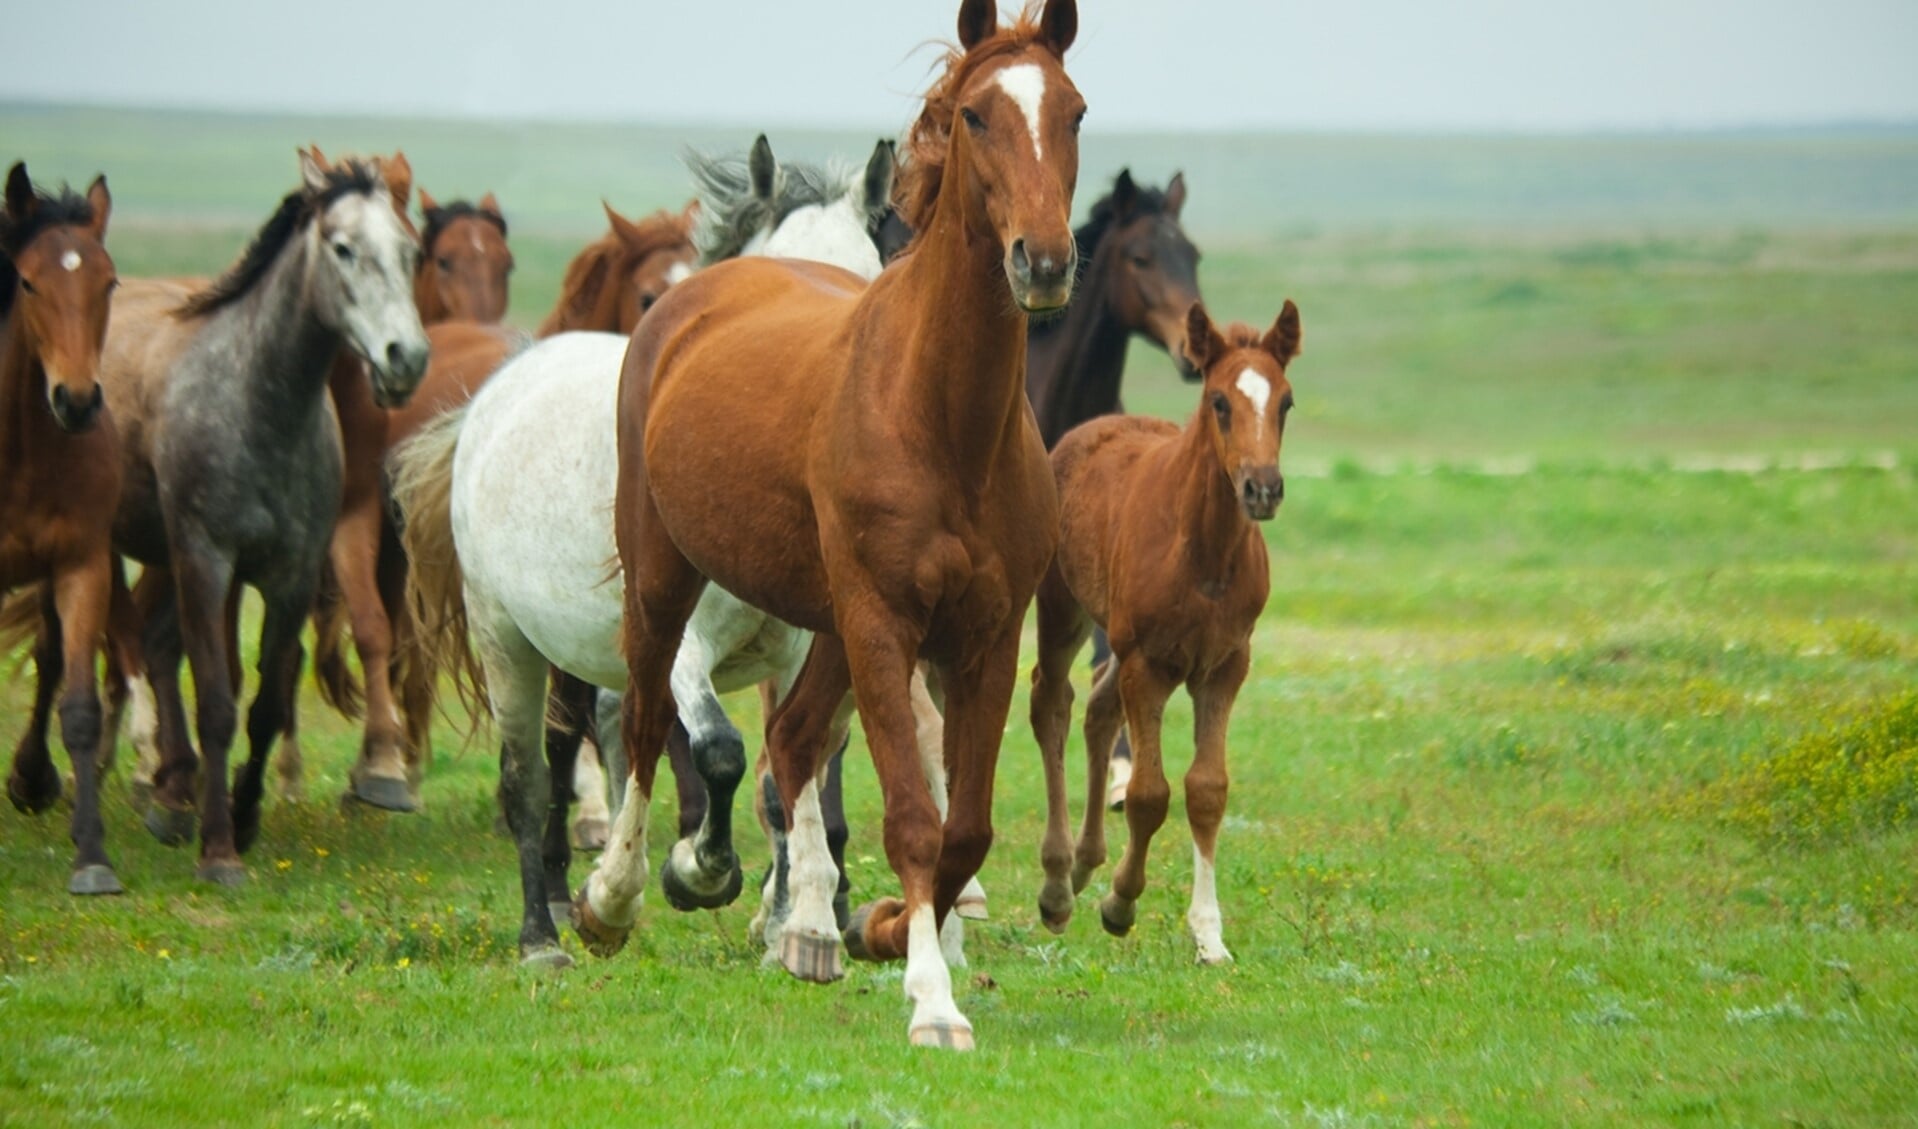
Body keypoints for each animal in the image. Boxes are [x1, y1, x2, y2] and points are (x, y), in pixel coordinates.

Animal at [103, 151, 429, 881]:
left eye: (410, 250)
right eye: (342, 248)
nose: (406, 358)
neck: (257, 404)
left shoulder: (292, 574)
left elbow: (268, 702)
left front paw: (245, 814)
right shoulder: (208, 561)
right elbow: (219, 702)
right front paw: (220, 851)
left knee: (155, 644)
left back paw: (171, 797)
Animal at [391, 138, 974, 969]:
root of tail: (496, 389)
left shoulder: (814, 650)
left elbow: (792, 776)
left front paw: (791, 922)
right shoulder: (684, 645)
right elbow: (722, 753)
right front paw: (696, 873)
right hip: (509, 639)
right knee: (533, 776)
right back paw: (547, 927)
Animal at [583, 0, 1089, 1050]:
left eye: (1074, 112)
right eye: (976, 114)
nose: (1045, 262)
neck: (938, 418)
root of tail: (691, 300)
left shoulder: (983, 636)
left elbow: (963, 826)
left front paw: (886, 930)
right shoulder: (884, 624)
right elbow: (913, 818)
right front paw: (932, 999)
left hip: (823, 624)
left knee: (793, 736)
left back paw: (811, 929)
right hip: (666, 577)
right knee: (647, 721)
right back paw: (613, 899)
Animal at [1028, 297, 1296, 958]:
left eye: (1286, 402)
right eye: (1219, 402)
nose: (1262, 488)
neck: (1204, 554)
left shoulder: (1225, 665)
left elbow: (1207, 789)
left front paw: (1209, 934)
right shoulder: (1149, 664)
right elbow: (1151, 794)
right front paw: (1120, 903)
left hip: (1125, 642)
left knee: (1098, 710)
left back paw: (1085, 861)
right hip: (1065, 607)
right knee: (1053, 703)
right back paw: (1058, 884)